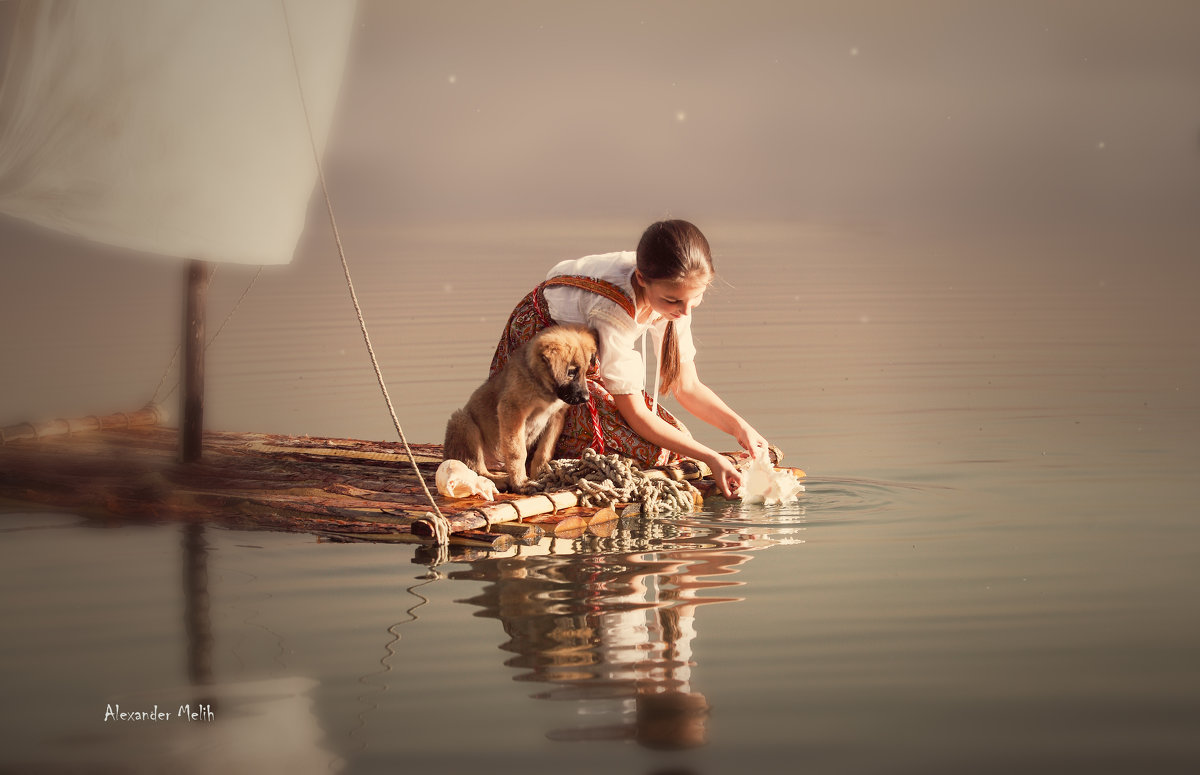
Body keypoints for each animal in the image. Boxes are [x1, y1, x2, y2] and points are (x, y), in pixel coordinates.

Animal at [444, 323, 597, 494]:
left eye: (585, 371)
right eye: (570, 372)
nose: (586, 398)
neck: (543, 387)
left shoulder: (556, 416)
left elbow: (545, 450)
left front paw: (542, 475)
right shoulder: (512, 410)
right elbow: (517, 452)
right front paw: (520, 482)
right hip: (463, 422)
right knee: (476, 469)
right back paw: (500, 481)